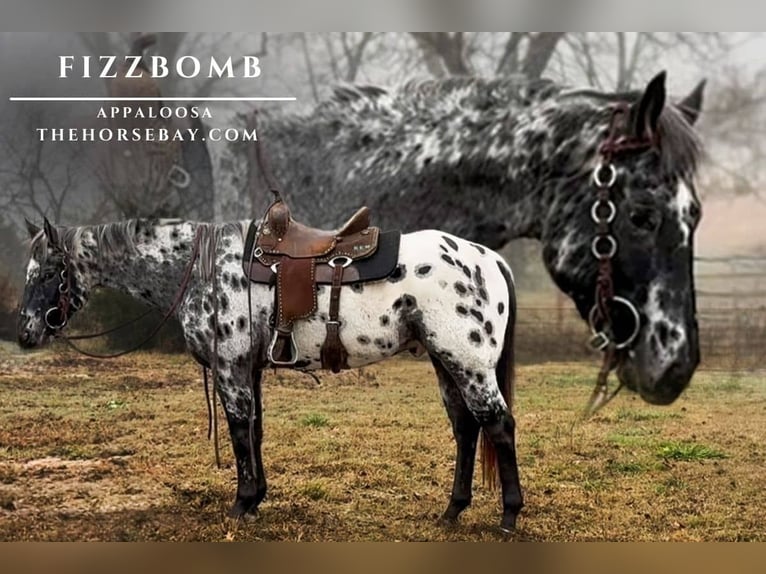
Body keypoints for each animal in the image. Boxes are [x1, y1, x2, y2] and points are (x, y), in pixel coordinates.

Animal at [17, 217, 523, 531]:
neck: (203, 270)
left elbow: (239, 432)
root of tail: (490, 259)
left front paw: (241, 503)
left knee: (498, 425)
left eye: (48, 272)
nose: (25, 332)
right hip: (445, 361)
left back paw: (509, 516)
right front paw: (257, 496)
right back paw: (452, 510)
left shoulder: (231, 367)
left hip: (468, 363)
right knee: (466, 428)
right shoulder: (250, 369)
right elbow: (255, 431)